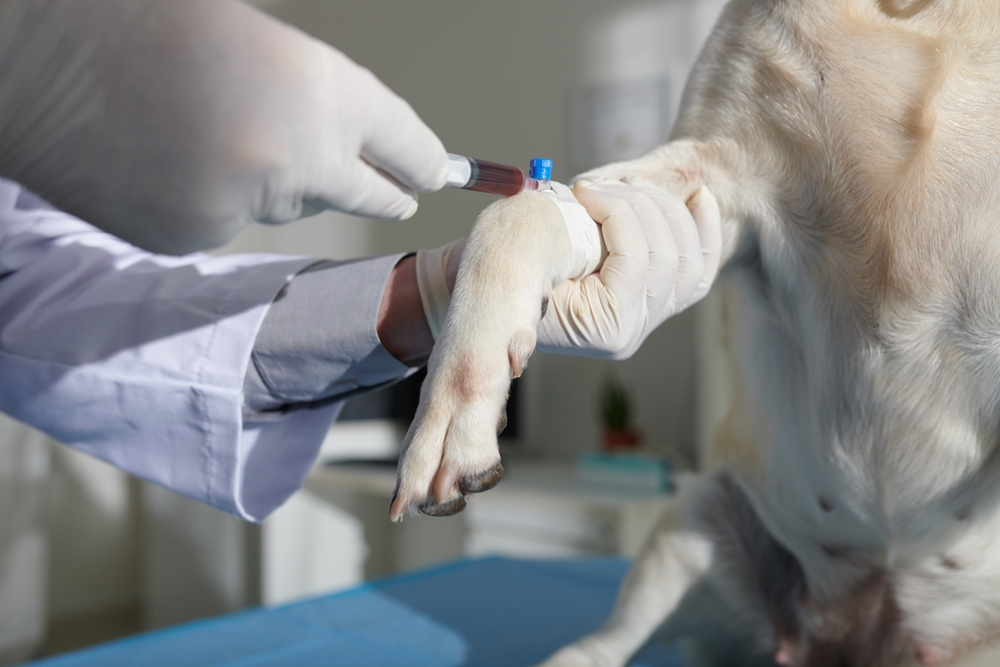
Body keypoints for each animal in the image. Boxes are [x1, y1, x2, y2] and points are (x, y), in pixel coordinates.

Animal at [392, 0, 1000, 664]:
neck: (906, 16)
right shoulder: (714, 172)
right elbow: (521, 210)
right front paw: (453, 406)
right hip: (696, 518)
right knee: (605, 645)